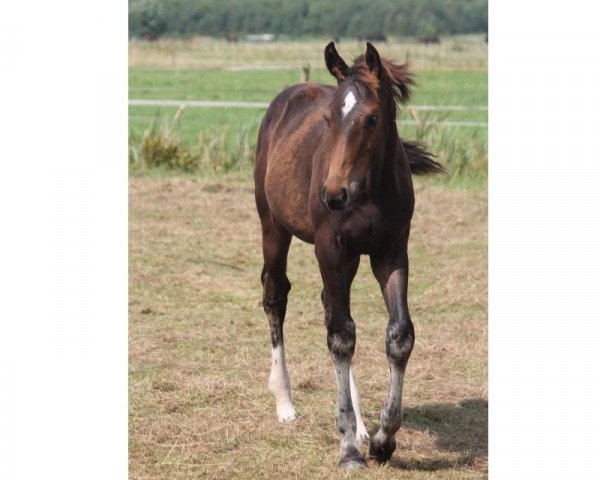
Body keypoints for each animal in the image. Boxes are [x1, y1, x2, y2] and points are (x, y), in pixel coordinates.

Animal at [252, 42, 440, 468]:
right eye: (327, 119)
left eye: (372, 119)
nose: (333, 194)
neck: (367, 192)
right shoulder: (330, 249)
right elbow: (340, 337)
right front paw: (349, 448)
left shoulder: (391, 253)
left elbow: (398, 335)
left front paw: (383, 439)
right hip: (273, 227)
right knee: (276, 296)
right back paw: (285, 403)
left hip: (349, 258)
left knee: (329, 306)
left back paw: (360, 426)